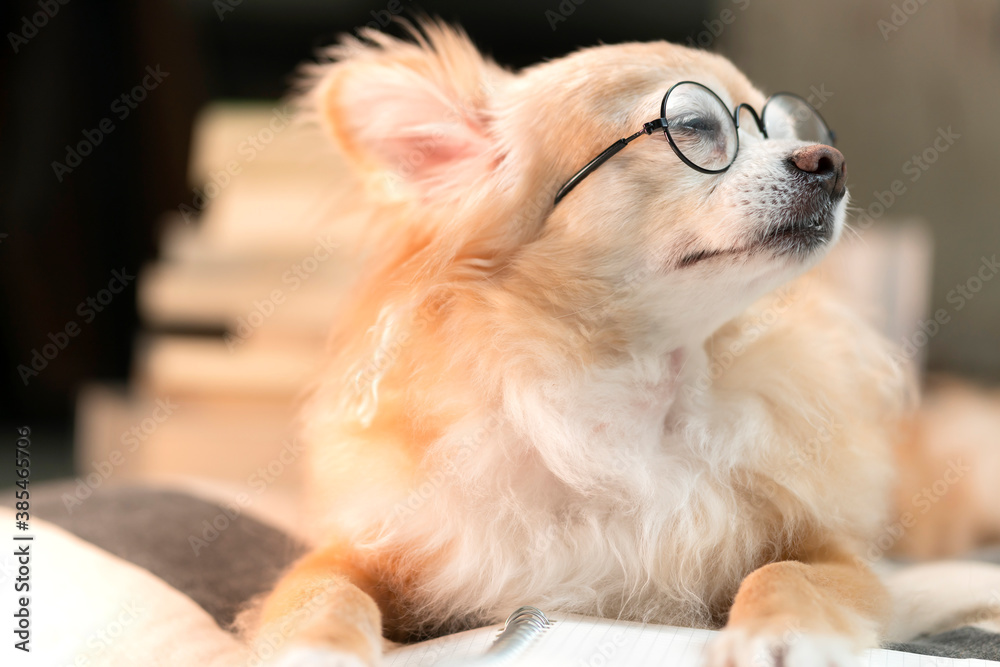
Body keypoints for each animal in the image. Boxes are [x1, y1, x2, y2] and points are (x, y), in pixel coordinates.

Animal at [244, 20, 1000, 667]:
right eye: (695, 126)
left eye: (793, 129)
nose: (832, 160)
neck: (633, 389)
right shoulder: (360, 552)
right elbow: (320, 594)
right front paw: (315, 649)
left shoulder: (843, 556)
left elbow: (790, 572)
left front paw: (780, 632)